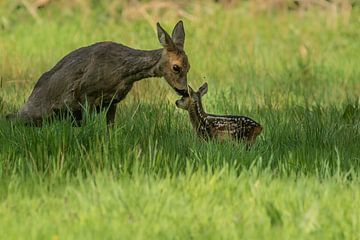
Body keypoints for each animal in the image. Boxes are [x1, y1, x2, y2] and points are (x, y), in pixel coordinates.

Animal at [6, 20, 191, 126]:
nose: (184, 90)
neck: (123, 73)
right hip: (36, 112)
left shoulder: (113, 101)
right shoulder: (85, 95)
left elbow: (110, 128)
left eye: (188, 66)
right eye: (176, 67)